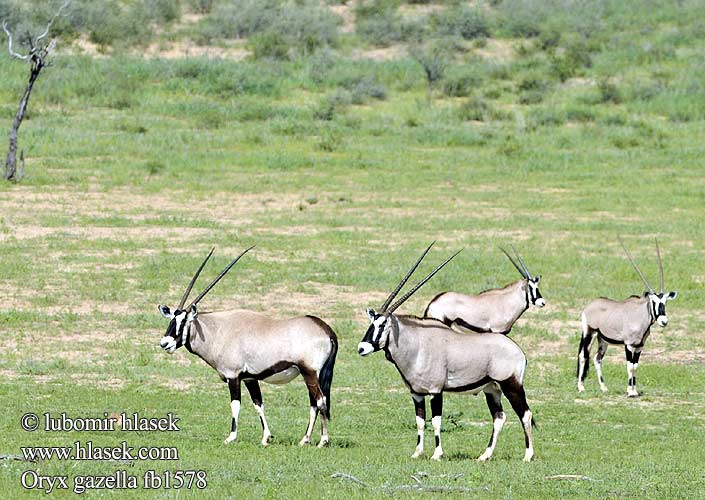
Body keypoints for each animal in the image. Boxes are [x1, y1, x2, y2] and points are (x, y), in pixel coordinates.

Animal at [157, 248, 338, 448]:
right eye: (172, 319)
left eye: (183, 322)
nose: (165, 343)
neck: (218, 330)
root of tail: (326, 330)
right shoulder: (250, 378)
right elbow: (258, 404)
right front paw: (266, 437)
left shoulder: (233, 376)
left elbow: (235, 405)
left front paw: (231, 437)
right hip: (311, 375)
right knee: (314, 403)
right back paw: (304, 439)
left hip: (310, 372)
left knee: (320, 400)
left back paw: (323, 440)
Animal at [358, 242, 532, 460]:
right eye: (371, 323)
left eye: (382, 325)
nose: (361, 348)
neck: (417, 344)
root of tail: (519, 350)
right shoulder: (416, 393)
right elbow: (420, 421)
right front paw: (417, 453)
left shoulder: (435, 391)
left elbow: (436, 421)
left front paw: (437, 454)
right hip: (492, 389)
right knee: (499, 417)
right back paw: (484, 456)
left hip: (511, 385)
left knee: (525, 414)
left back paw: (528, 456)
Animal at [576, 240, 676, 396]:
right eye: (653, 301)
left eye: (665, 302)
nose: (664, 321)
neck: (640, 315)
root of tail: (589, 306)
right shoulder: (628, 344)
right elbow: (630, 366)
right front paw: (630, 392)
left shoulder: (639, 346)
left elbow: (635, 366)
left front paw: (634, 390)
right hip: (589, 333)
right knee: (583, 355)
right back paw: (581, 387)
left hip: (602, 339)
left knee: (597, 358)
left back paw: (604, 388)